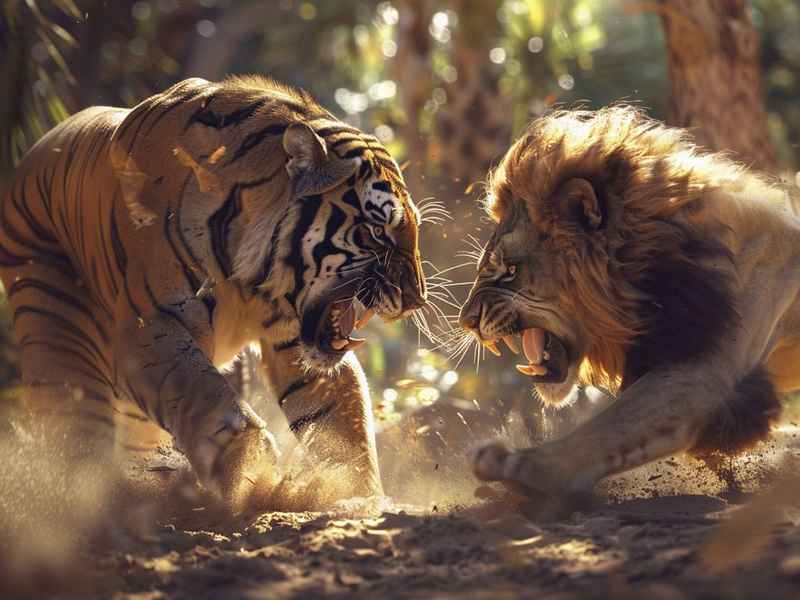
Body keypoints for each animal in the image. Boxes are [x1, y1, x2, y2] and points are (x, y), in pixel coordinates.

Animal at [0, 76, 426, 508]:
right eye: (378, 231)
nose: (416, 299)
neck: (251, 281)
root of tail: (28, 159)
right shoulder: (149, 325)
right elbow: (203, 390)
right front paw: (250, 468)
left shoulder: (296, 339)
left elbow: (340, 422)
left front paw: (359, 496)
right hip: (58, 334)